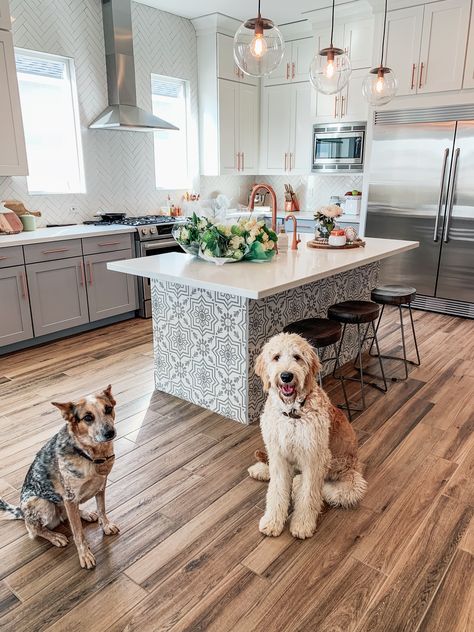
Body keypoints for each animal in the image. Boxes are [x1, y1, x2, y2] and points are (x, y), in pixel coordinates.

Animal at [248, 330, 366, 540]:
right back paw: (261, 470)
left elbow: (309, 493)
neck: (292, 413)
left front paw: (302, 525)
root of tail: (356, 465)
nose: (286, 376)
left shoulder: (315, 458)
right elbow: (276, 489)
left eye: (297, 357)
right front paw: (272, 521)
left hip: (348, 478)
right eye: (276, 357)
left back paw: (296, 484)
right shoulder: (278, 453)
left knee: (322, 488)